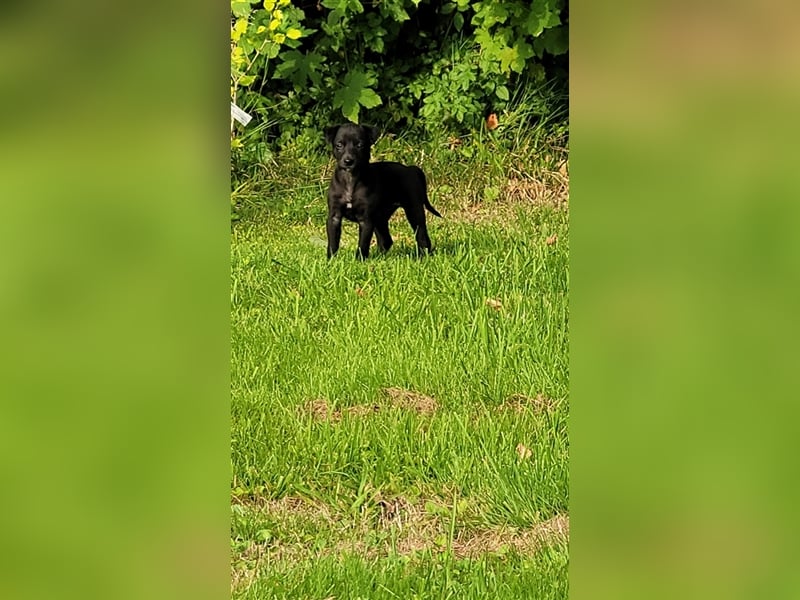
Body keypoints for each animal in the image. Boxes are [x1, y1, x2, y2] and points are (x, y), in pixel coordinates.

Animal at [324, 123, 444, 258]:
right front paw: (331, 259)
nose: (348, 161)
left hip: (414, 210)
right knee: (386, 240)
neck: (350, 179)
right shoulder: (334, 217)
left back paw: (423, 256)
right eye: (339, 145)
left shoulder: (366, 220)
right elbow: (333, 242)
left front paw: (359, 260)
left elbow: (362, 244)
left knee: (422, 236)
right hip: (380, 217)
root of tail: (411, 169)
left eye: (360, 145)